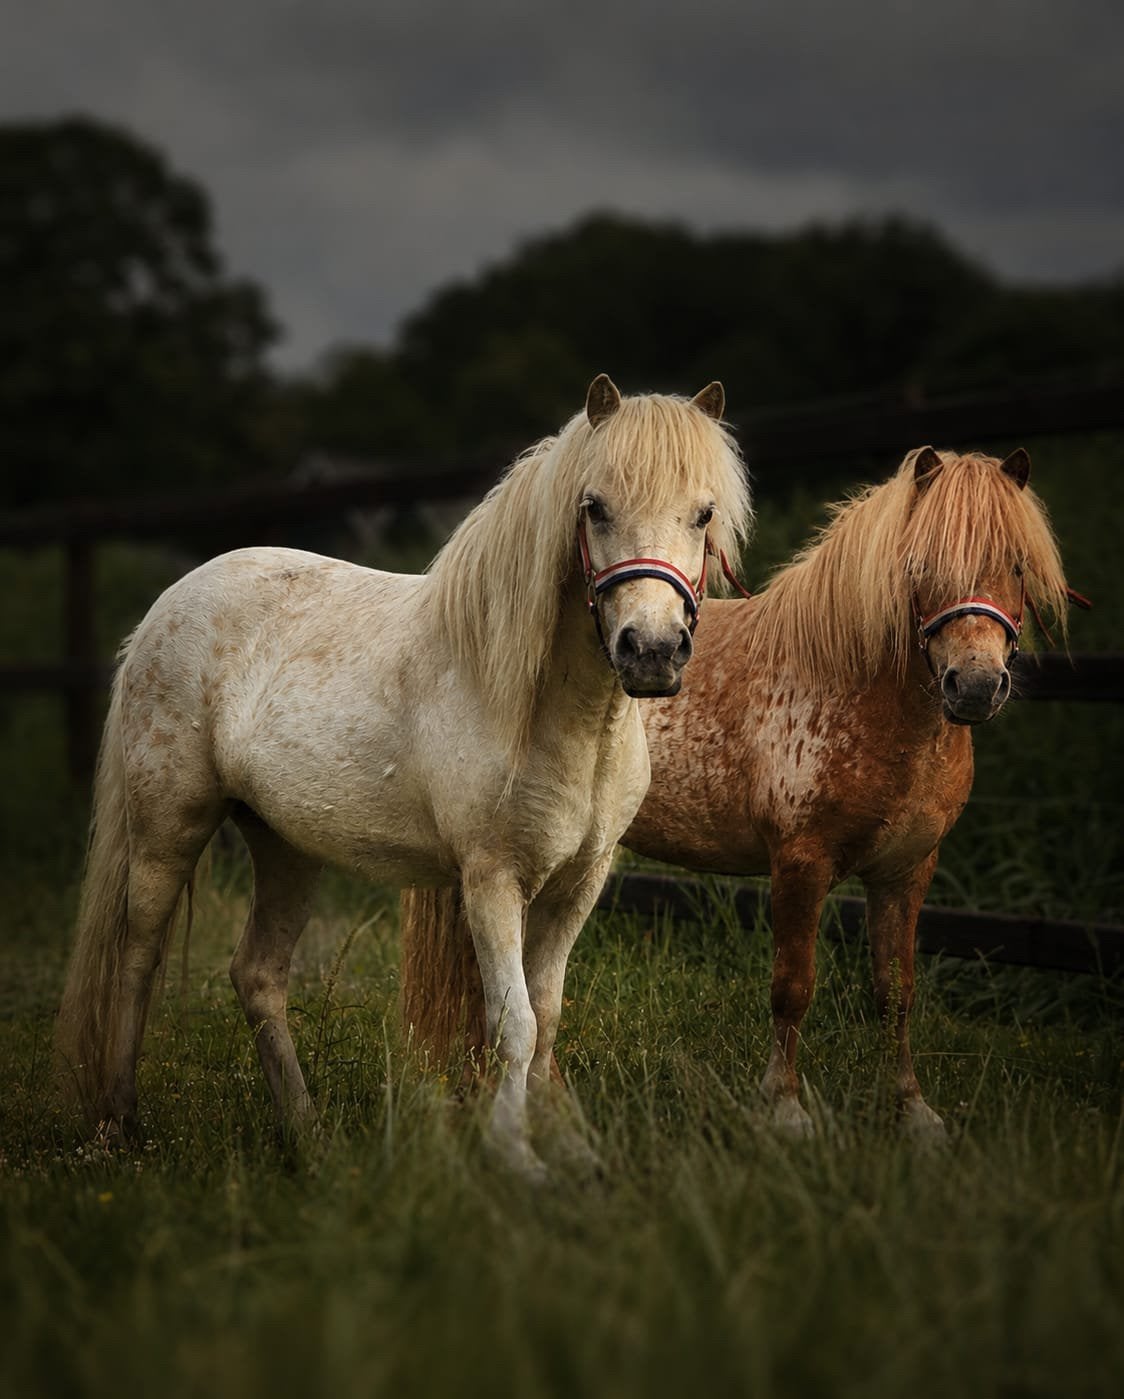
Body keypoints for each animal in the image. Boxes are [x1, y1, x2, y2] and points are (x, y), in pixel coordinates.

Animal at [54, 374, 752, 1179]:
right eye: (595, 506)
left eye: (704, 512)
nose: (652, 650)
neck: (561, 718)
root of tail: (164, 608)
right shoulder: (491, 880)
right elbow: (513, 1023)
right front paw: (516, 1158)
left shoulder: (581, 882)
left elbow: (547, 1017)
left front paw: (573, 1151)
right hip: (167, 829)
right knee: (135, 957)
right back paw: (117, 1126)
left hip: (285, 847)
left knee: (258, 976)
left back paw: (309, 1137)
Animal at [400, 445, 1075, 1140]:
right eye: (920, 565)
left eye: (1017, 565)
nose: (975, 684)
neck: (850, 683)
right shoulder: (801, 864)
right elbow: (792, 987)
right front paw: (785, 1110)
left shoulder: (907, 871)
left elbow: (896, 994)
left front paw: (913, 1114)